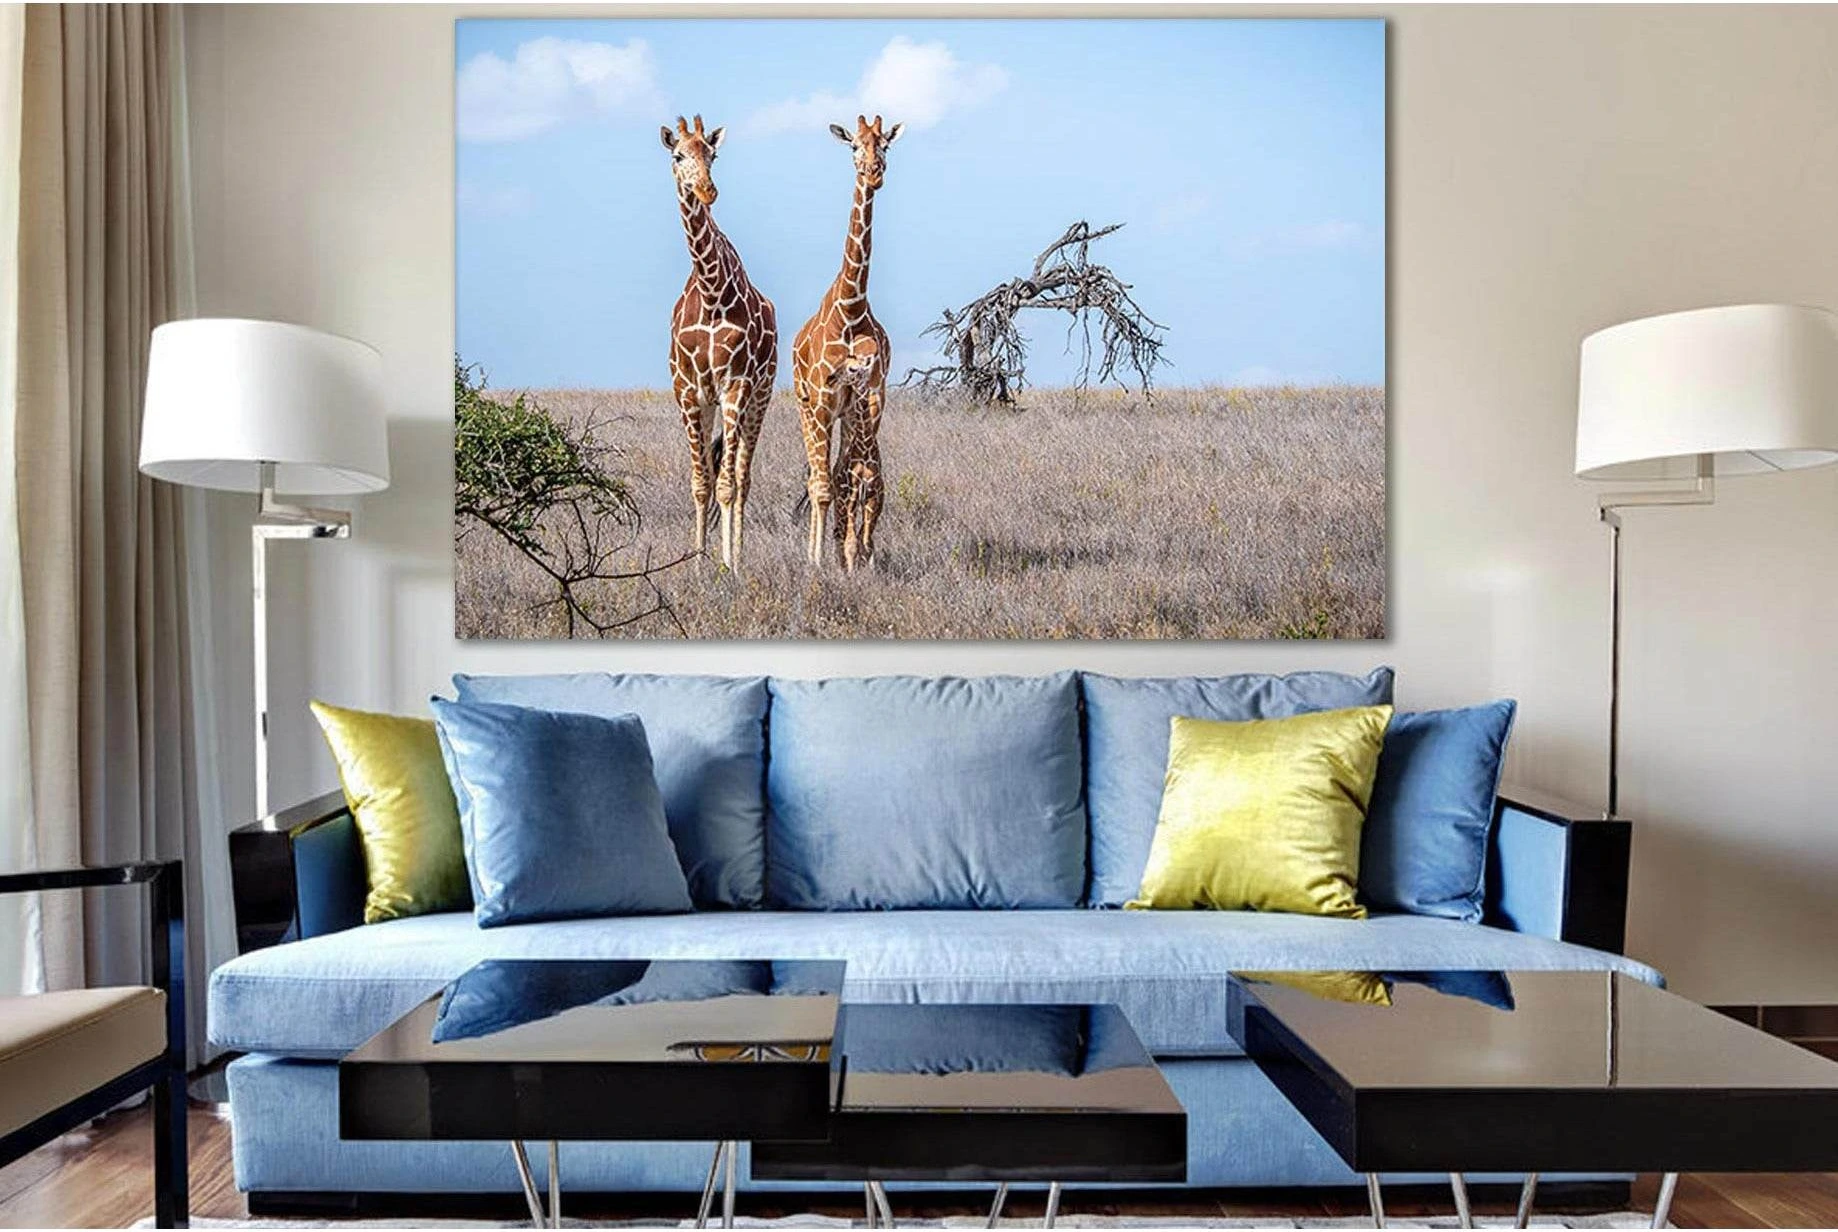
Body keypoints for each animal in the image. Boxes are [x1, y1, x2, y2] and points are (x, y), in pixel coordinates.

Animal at [662, 114, 778, 570]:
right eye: (678, 155)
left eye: (712, 154)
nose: (707, 191)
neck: (712, 292)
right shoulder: (688, 391)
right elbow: (701, 482)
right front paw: (696, 562)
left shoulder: (736, 386)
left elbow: (728, 484)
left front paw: (729, 565)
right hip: (712, 402)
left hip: (760, 396)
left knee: (742, 478)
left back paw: (738, 555)